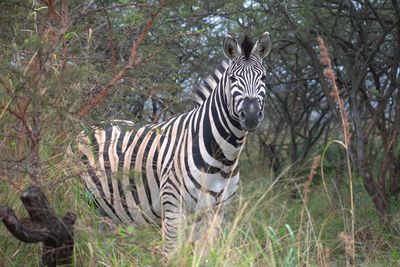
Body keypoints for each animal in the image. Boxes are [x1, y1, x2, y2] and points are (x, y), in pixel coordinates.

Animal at [76, 32, 272, 254]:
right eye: (232, 79)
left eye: (263, 77)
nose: (251, 116)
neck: (224, 158)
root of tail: (90, 127)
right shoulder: (172, 208)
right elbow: (173, 254)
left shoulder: (216, 213)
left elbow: (204, 255)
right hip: (83, 201)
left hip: (107, 209)